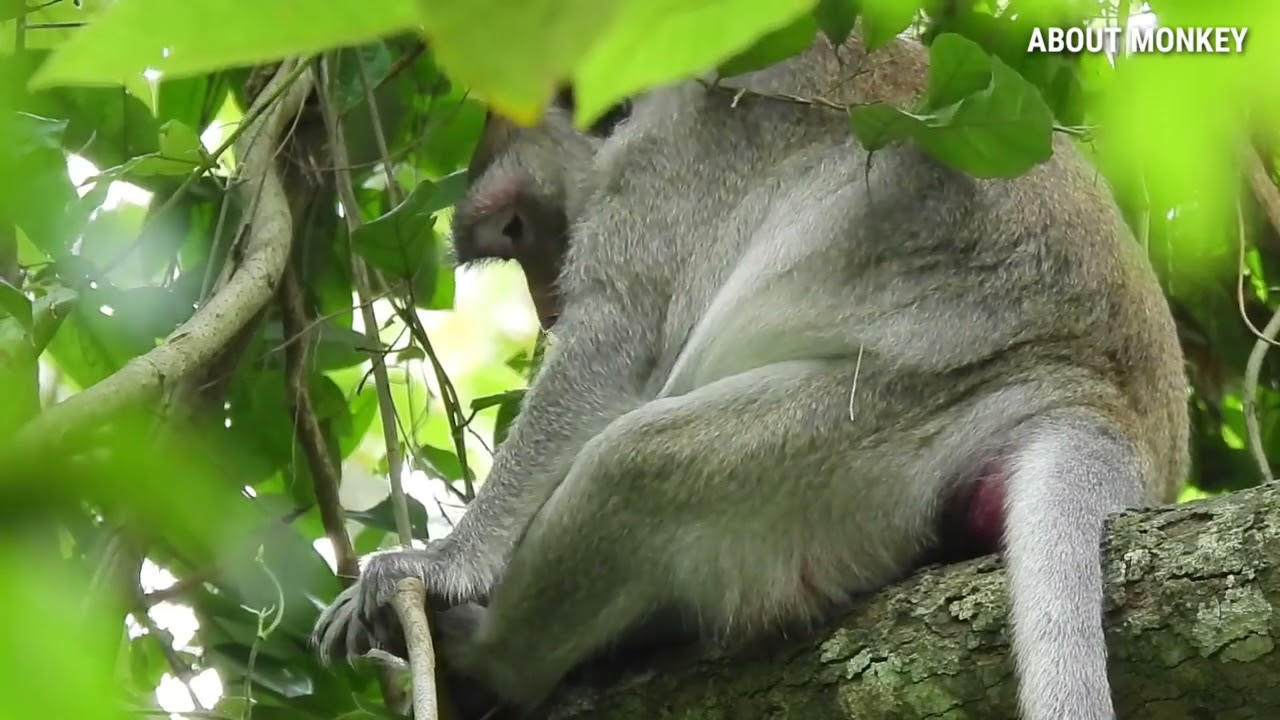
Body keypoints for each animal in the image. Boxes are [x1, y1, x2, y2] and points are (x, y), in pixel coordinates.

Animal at [312, 30, 1189, 720]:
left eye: (519, 227)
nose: (544, 303)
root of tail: (1107, 416)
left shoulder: (666, 177)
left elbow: (614, 352)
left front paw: (443, 563)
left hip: (881, 432)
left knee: (639, 463)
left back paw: (496, 660)